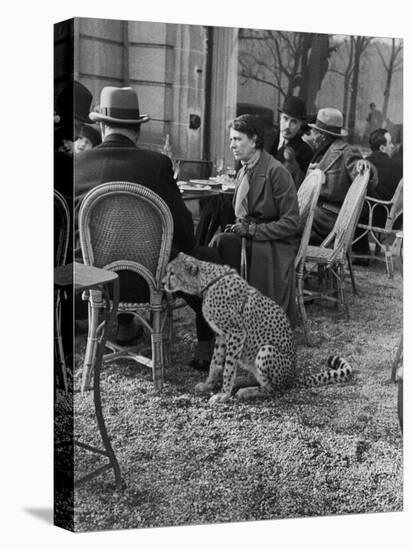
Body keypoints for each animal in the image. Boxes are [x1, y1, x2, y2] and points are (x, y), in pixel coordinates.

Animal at [163, 254, 350, 406]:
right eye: (167, 271)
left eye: (172, 273)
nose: (163, 282)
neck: (209, 282)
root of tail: (293, 377)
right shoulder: (221, 335)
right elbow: (215, 363)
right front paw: (209, 384)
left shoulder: (236, 333)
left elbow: (228, 367)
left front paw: (223, 394)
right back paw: (241, 381)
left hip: (266, 350)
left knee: (273, 389)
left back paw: (247, 391)